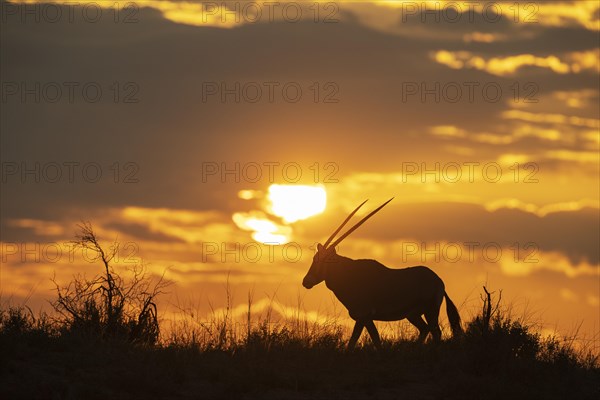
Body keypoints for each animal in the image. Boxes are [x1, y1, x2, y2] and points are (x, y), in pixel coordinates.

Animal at [304, 198, 464, 348]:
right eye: (314, 258)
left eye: (324, 261)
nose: (306, 281)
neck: (350, 274)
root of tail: (438, 280)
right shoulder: (366, 319)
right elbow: (375, 341)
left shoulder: (364, 316)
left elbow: (358, 341)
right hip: (413, 315)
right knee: (425, 329)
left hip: (430, 310)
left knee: (436, 332)